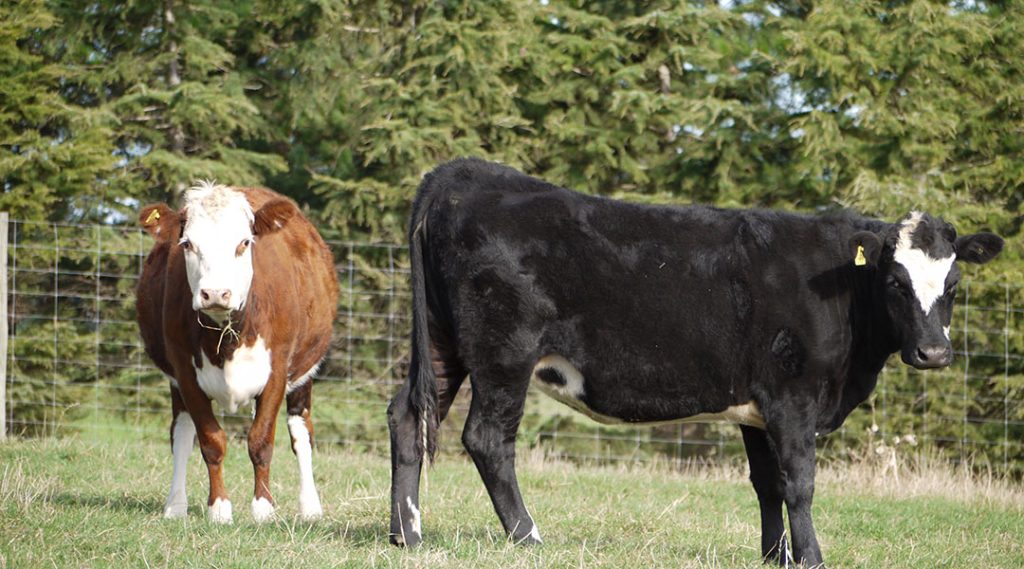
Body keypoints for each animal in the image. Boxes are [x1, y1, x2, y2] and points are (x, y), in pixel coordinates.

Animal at [136, 182, 338, 524]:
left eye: (244, 243)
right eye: (188, 244)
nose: (216, 293)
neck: (227, 338)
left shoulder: (277, 372)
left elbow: (261, 440)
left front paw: (263, 508)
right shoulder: (185, 373)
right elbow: (210, 442)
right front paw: (218, 508)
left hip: (305, 373)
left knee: (301, 433)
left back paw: (310, 507)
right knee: (181, 434)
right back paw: (176, 505)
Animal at [386, 158, 1004, 566]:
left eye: (953, 284)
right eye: (896, 283)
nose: (933, 352)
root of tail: (463, 174)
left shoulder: (757, 407)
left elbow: (767, 484)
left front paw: (774, 556)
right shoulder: (793, 398)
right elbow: (800, 483)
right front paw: (810, 558)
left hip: (442, 343)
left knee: (408, 417)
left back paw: (407, 535)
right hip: (504, 352)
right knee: (487, 438)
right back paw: (529, 537)